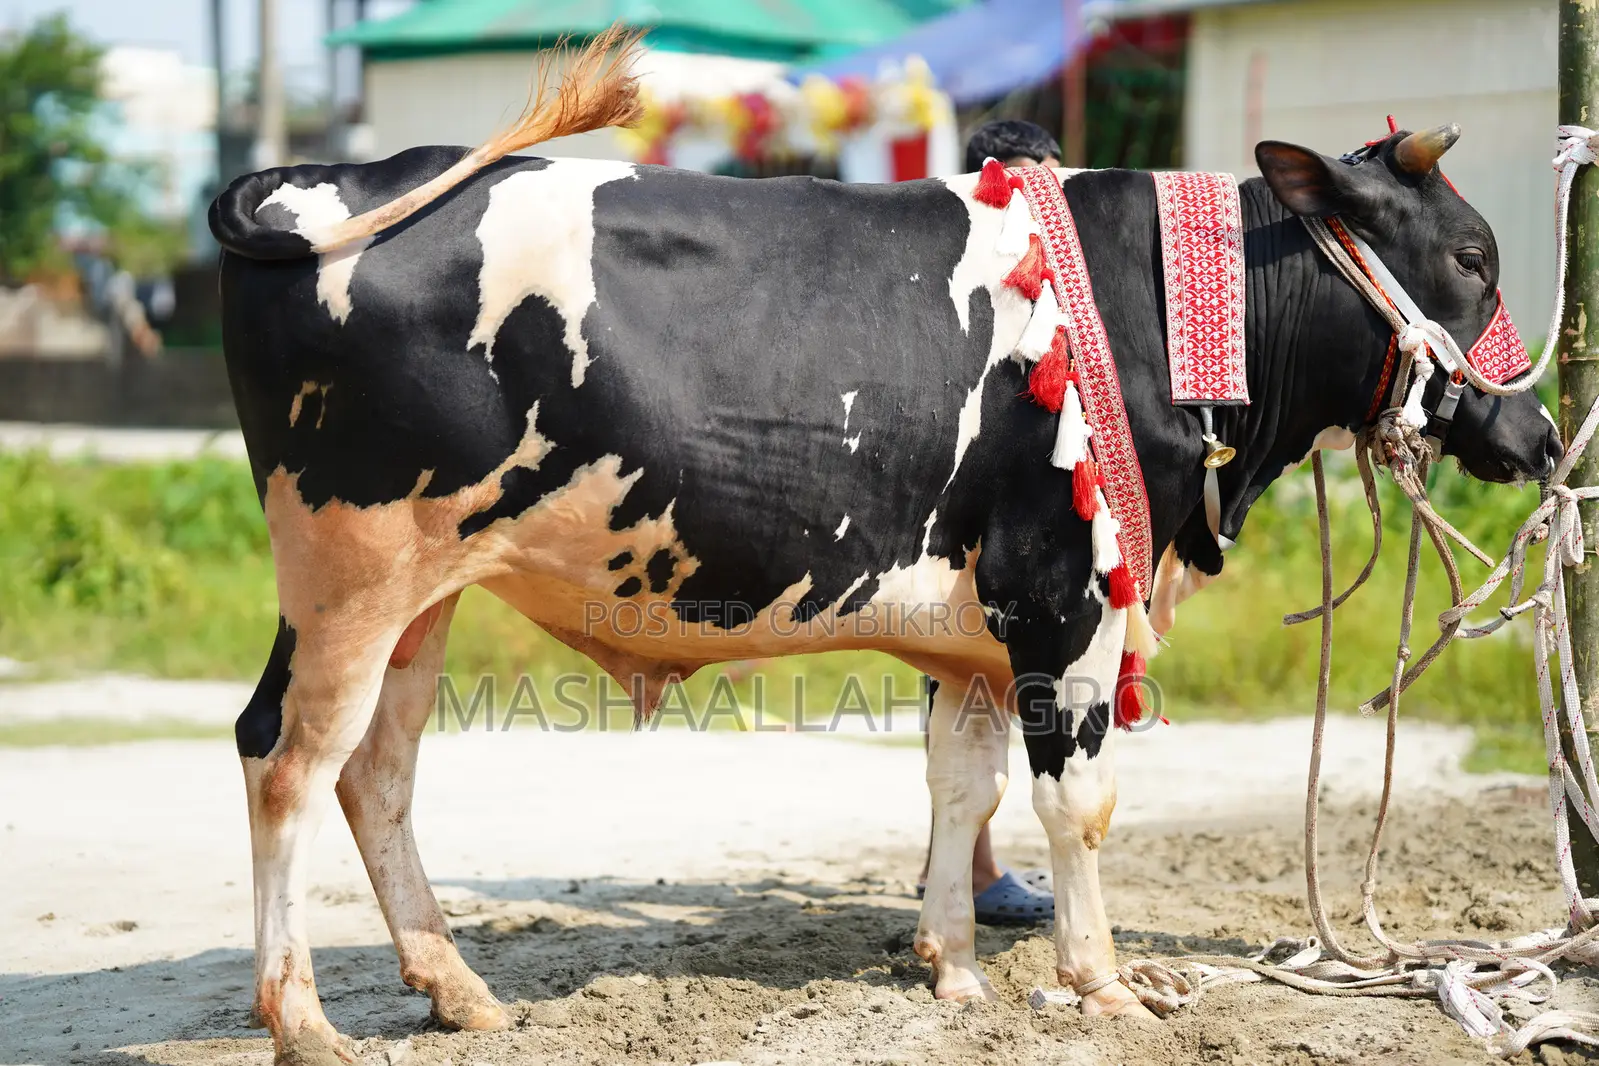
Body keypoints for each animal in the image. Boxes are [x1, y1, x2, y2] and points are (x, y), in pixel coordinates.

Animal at [209, 30, 1560, 1064]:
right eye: (1472, 256)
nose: (1542, 434)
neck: (1162, 312)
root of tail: (325, 176)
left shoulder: (974, 631)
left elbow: (963, 785)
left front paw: (953, 969)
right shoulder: (1061, 594)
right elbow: (1078, 800)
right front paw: (1103, 981)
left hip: (423, 589)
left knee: (377, 769)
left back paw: (457, 988)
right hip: (349, 574)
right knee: (287, 755)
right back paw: (303, 1020)